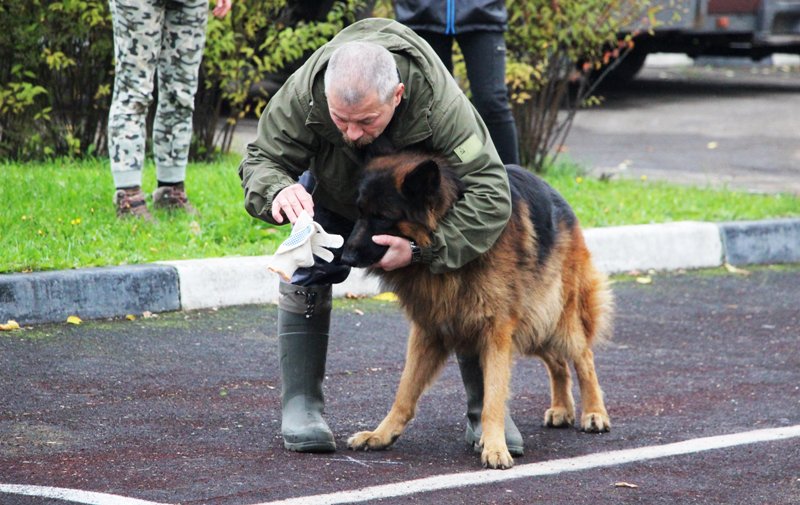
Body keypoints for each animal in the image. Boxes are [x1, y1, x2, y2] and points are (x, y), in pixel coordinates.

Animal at [340, 151, 612, 468]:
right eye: (359, 212)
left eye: (382, 217)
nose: (345, 257)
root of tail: (556, 194)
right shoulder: (430, 330)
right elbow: (404, 392)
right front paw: (381, 434)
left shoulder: (496, 333)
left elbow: (492, 398)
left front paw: (494, 446)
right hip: (534, 324)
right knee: (557, 361)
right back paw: (561, 409)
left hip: (557, 317)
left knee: (583, 357)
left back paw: (594, 412)